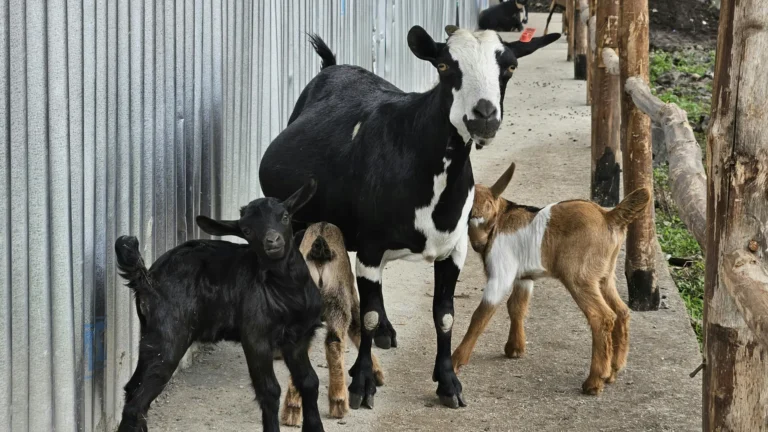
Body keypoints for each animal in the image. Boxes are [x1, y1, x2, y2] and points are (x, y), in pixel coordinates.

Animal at [114, 180, 325, 432]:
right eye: (247, 230)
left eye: (284, 216)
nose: (272, 241)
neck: (286, 291)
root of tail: (147, 279)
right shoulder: (256, 337)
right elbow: (270, 391)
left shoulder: (298, 339)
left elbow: (310, 381)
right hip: (168, 338)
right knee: (136, 403)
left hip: (150, 336)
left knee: (132, 389)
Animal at [259, 26, 560, 410]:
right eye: (444, 66)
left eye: (509, 67)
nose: (484, 116)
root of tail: (332, 66)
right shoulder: (372, 246)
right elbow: (369, 316)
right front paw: (362, 385)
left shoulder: (454, 250)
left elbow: (444, 315)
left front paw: (448, 384)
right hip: (299, 222)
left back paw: (388, 332)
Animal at [451, 162, 650, 395]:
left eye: (484, 210)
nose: (479, 243)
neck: (500, 220)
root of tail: (608, 217)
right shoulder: (523, 278)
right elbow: (516, 306)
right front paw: (515, 348)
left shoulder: (500, 275)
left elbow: (481, 315)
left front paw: (455, 361)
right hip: (604, 276)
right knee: (621, 311)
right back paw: (614, 370)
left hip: (579, 277)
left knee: (602, 316)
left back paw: (594, 381)